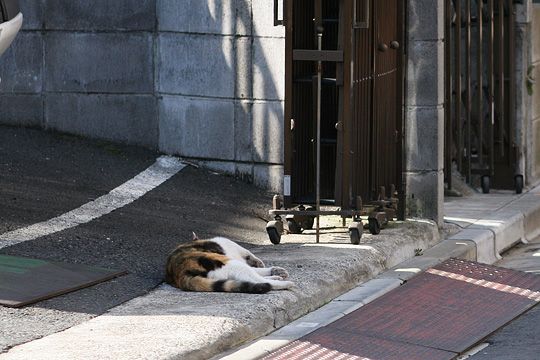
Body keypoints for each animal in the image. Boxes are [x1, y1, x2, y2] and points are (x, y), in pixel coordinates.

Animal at [166, 235, 296, 294]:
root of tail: (181, 272)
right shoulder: (230, 246)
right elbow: (249, 256)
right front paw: (259, 263)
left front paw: (275, 271)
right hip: (229, 263)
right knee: (259, 280)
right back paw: (285, 283)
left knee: (253, 279)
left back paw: (275, 277)